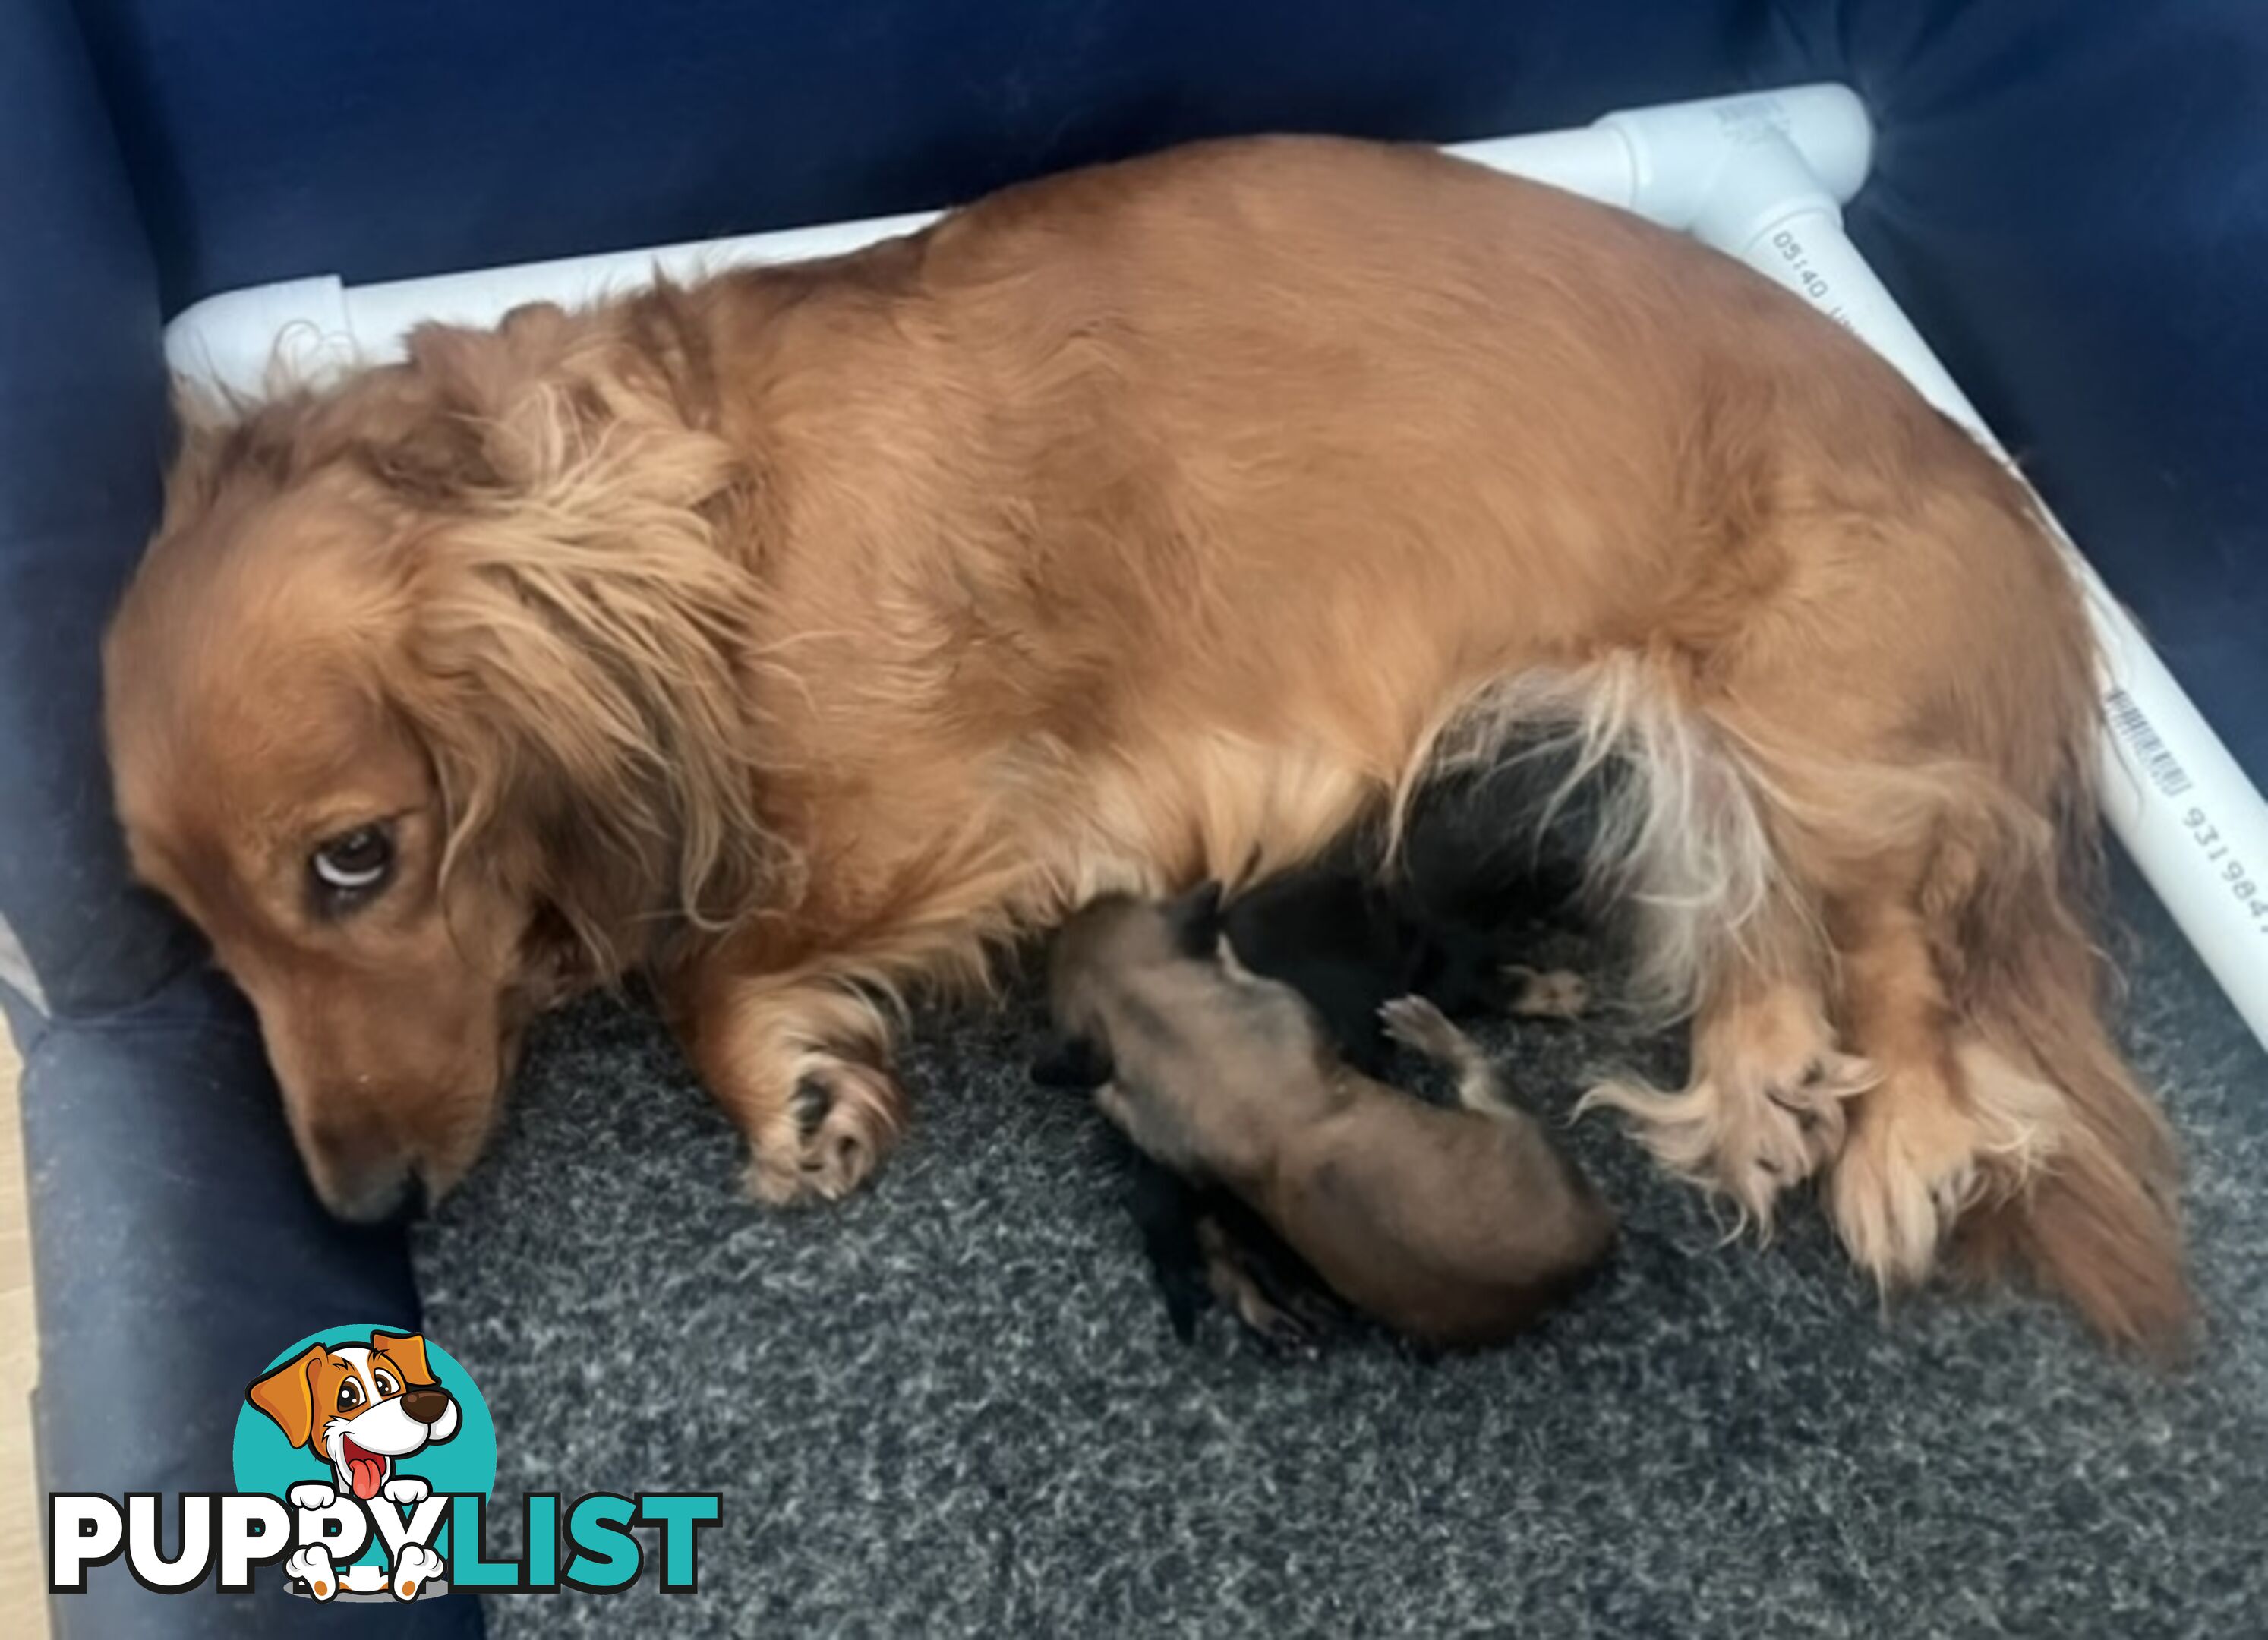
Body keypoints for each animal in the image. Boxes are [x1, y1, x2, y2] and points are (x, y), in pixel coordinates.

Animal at [1052, 894, 1623, 1351]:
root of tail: (1594, 1242)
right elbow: (1502, 983)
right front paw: (1555, 989)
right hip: (1501, 1111)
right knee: (1477, 1066)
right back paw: (1427, 1026)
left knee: (1221, 1258)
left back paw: (1274, 1314)